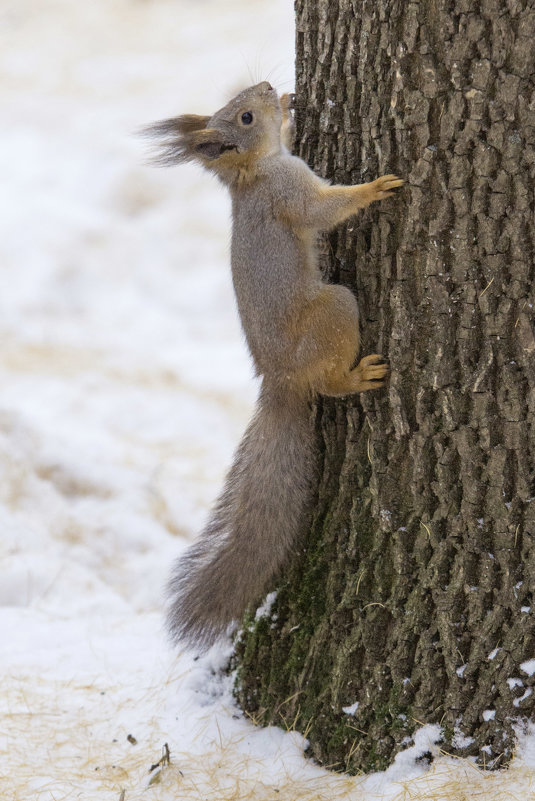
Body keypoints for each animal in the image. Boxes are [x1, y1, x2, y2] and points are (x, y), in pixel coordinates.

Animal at [146, 81, 402, 648]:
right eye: (244, 116)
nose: (266, 88)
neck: (254, 173)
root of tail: (280, 382)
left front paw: (290, 106)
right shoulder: (290, 194)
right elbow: (321, 211)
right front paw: (373, 188)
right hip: (335, 311)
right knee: (330, 382)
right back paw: (357, 377)